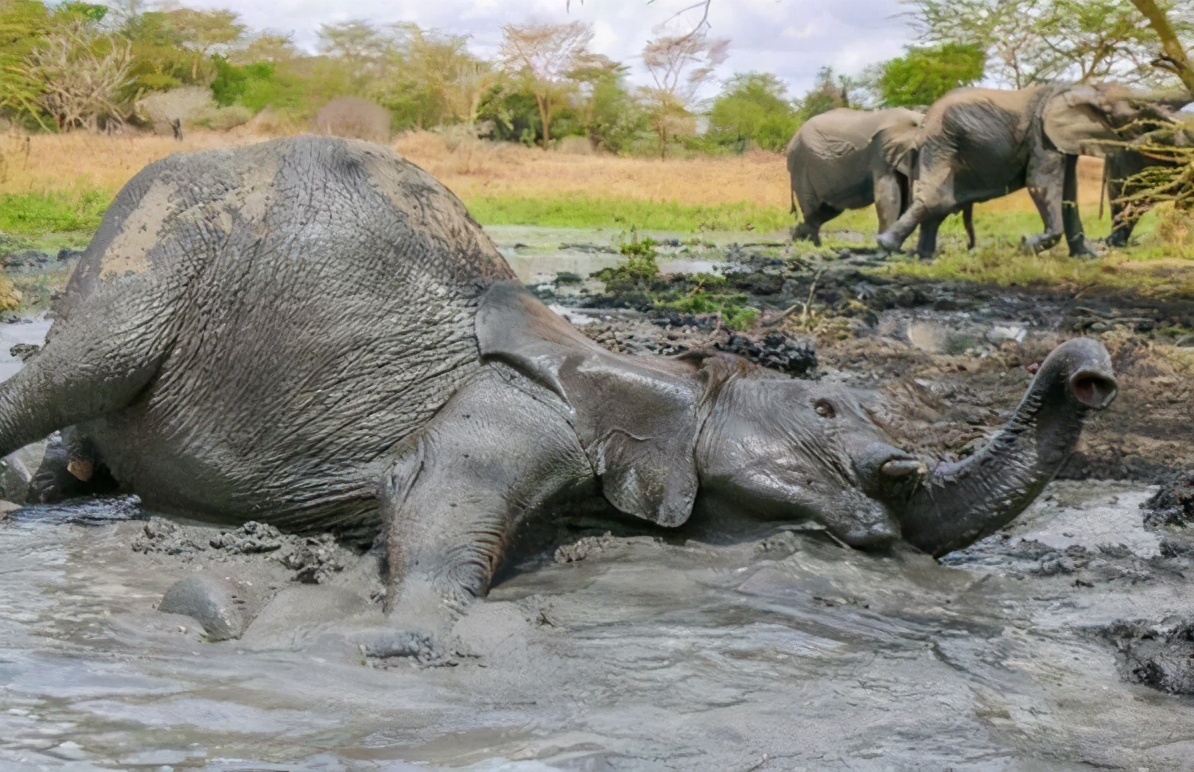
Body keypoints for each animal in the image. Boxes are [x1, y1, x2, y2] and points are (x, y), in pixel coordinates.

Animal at [0, 136, 1117, 653]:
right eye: (828, 411)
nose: (1093, 369)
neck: (654, 371)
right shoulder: (508, 410)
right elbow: (438, 514)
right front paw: (407, 643)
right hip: (143, 252)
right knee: (74, 370)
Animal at [783, 105, 969, 249]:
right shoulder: (882, 151)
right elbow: (888, 197)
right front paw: (883, 248)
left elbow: (904, 202)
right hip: (801, 165)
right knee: (813, 209)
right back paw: (814, 245)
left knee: (827, 210)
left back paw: (799, 237)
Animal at [878, 82, 1174, 260]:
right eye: (1137, 109)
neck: (1076, 88)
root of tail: (923, 122)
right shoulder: (1041, 137)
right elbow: (1040, 184)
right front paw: (1025, 244)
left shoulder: (1060, 142)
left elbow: (1069, 196)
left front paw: (1087, 257)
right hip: (941, 142)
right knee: (937, 199)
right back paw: (886, 245)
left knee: (939, 206)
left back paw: (924, 257)